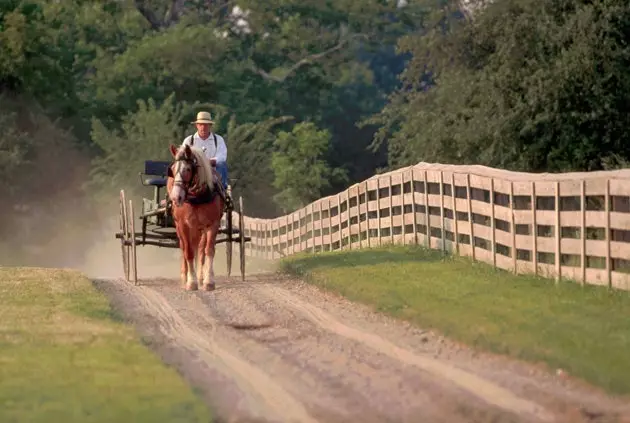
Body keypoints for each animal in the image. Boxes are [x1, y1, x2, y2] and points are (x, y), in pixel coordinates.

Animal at [167, 143, 226, 292]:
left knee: (200, 249)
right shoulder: (183, 225)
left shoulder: (212, 224)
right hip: (181, 227)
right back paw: (185, 276)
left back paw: (201, 276)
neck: (197, 197)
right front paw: (191, 282)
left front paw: (208, 281)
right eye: (172, 169)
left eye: (188, 169)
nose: (176, 197)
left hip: (200, 229)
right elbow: (188, 251)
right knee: (184, 247)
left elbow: (208, 250)